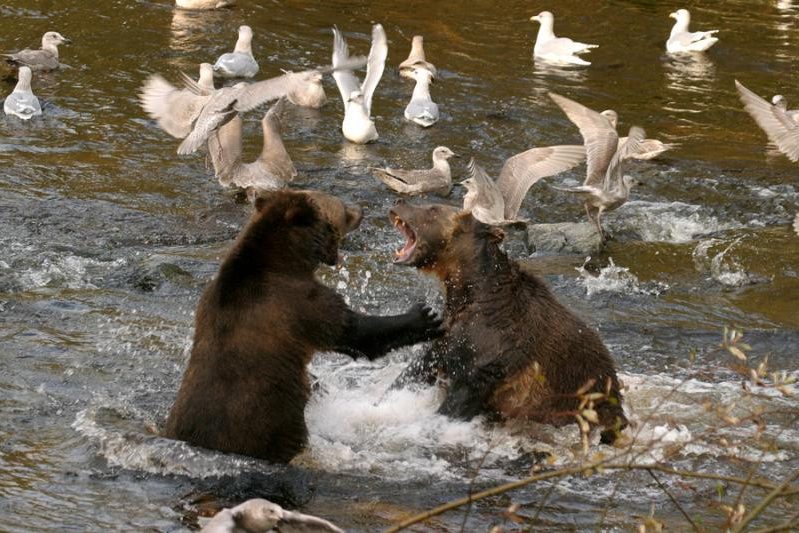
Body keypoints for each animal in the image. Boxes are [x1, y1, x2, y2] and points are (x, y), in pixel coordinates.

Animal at [164, 190, 442, 462]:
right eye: (341, 207)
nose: (360, 208)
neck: (288, 259)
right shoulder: (298, 304)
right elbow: (354, 332)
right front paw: (425, 316)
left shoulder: (210, 297)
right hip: (269, 425)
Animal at [387, 200, 628, 444]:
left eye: (433, 209)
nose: (398, 203)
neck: (471, 293)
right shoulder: (448, 337)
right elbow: (416, 370)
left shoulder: (492, 354)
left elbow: (460, 398)